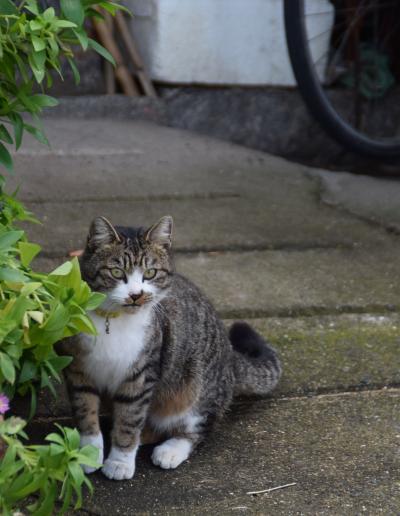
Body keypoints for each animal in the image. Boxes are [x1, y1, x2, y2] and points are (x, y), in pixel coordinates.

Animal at [61, 215, 282, 480]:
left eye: (150, 273)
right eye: (116, 272)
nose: (136, 295)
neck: (113, 320)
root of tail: (230, 359)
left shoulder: (141, 376)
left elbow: (129, 420)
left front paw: (120, 461)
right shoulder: (78, 370)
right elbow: (86, 413)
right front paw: (89, 453)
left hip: (197, 390)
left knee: (197, 428)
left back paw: (170, 449)